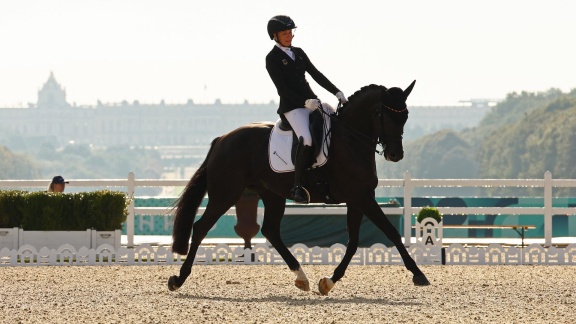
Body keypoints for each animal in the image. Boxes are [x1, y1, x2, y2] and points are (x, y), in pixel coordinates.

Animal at [166, 80, 428, 294]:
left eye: (405, 116)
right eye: (385, 115)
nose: (395, 155)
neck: (350, 140)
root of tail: (222, 139)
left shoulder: (358, 199)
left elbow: (354, 242)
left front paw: (329, 282)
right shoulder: (362, 198)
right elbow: (390, 232)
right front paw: (419, 274)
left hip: (272, 194)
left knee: (271, 231)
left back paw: (302, 277)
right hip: (225, 194)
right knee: (201, 227)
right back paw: (178, 279)